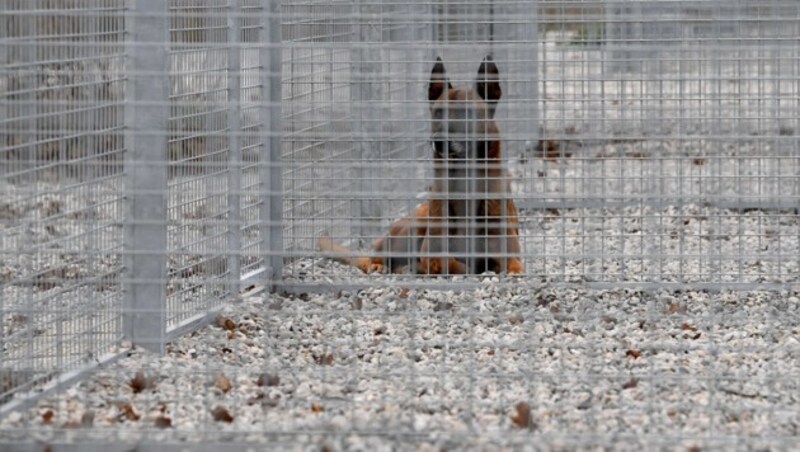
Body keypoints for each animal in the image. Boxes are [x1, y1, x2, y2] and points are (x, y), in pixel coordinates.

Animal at [318, 56, 524, 276]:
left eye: (466, 113)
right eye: (438, 112)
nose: (439, 140)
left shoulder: (509, 251)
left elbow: (512, 265)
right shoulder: (433, 253)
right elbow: (452, 263)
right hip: (417, 218)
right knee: (376, 257)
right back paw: (383, 265)